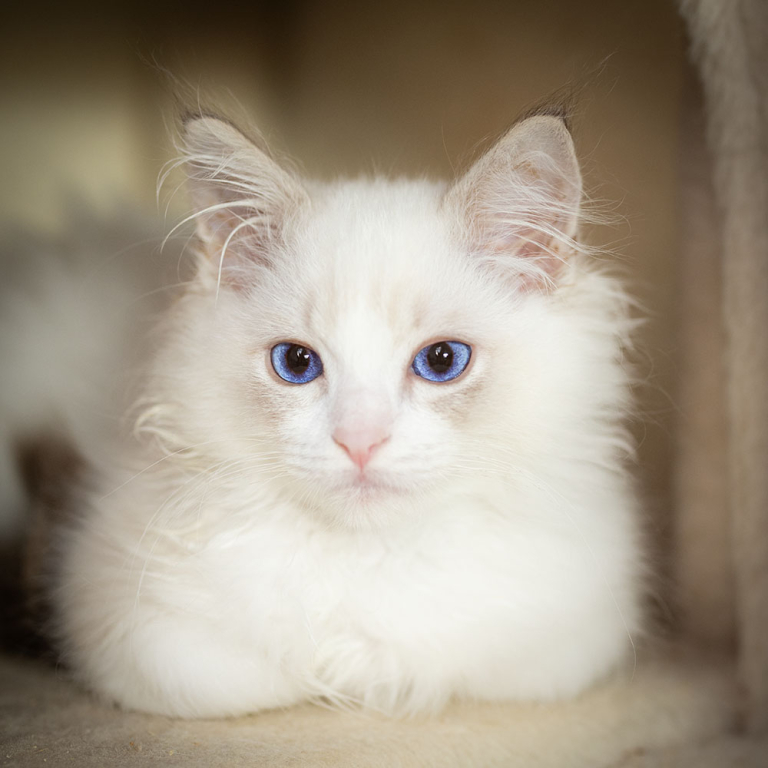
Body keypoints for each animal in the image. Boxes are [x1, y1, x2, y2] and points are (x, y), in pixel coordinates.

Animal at [49, 111, 648, 716]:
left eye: (442, 360)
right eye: (295, 363)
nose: (360, 440)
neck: (368, 558)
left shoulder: (567, 638)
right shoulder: (132, 627)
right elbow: (266, 679)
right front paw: (336, 679)